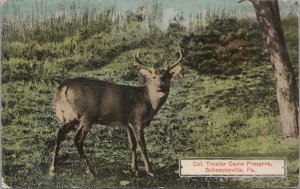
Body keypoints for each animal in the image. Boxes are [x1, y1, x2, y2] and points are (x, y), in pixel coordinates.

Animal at [49, 48, 183, 178]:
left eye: (167, 77)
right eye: (153, 77)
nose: (160, 86)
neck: (148, 100)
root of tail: (63, 87)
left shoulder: (127, 123)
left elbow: (132, 145)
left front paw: (134, 170)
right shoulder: (136, 120)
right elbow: (142, 145)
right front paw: (150, 171)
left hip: (70, 116)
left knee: (60, 133)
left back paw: (53, 169)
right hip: (87, 115)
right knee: (77, 139)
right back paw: (90, 171)